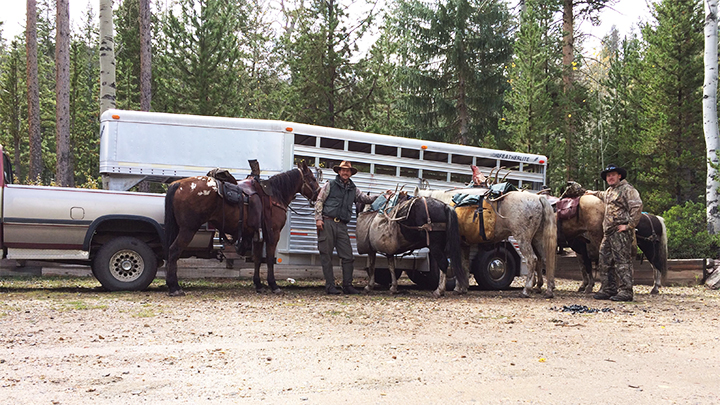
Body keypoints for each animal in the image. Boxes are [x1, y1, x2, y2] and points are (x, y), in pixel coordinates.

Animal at [166, 163, 320, 296]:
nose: (319, 194)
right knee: (174, 252)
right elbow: (270, 260)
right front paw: (273, 285)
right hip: (188, 230)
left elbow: (257, 259)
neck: (275, 196)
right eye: (313, 179)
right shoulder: (273, 234)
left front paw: (258, 285)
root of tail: (178, 184)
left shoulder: (258, 235)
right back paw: (174, 288)